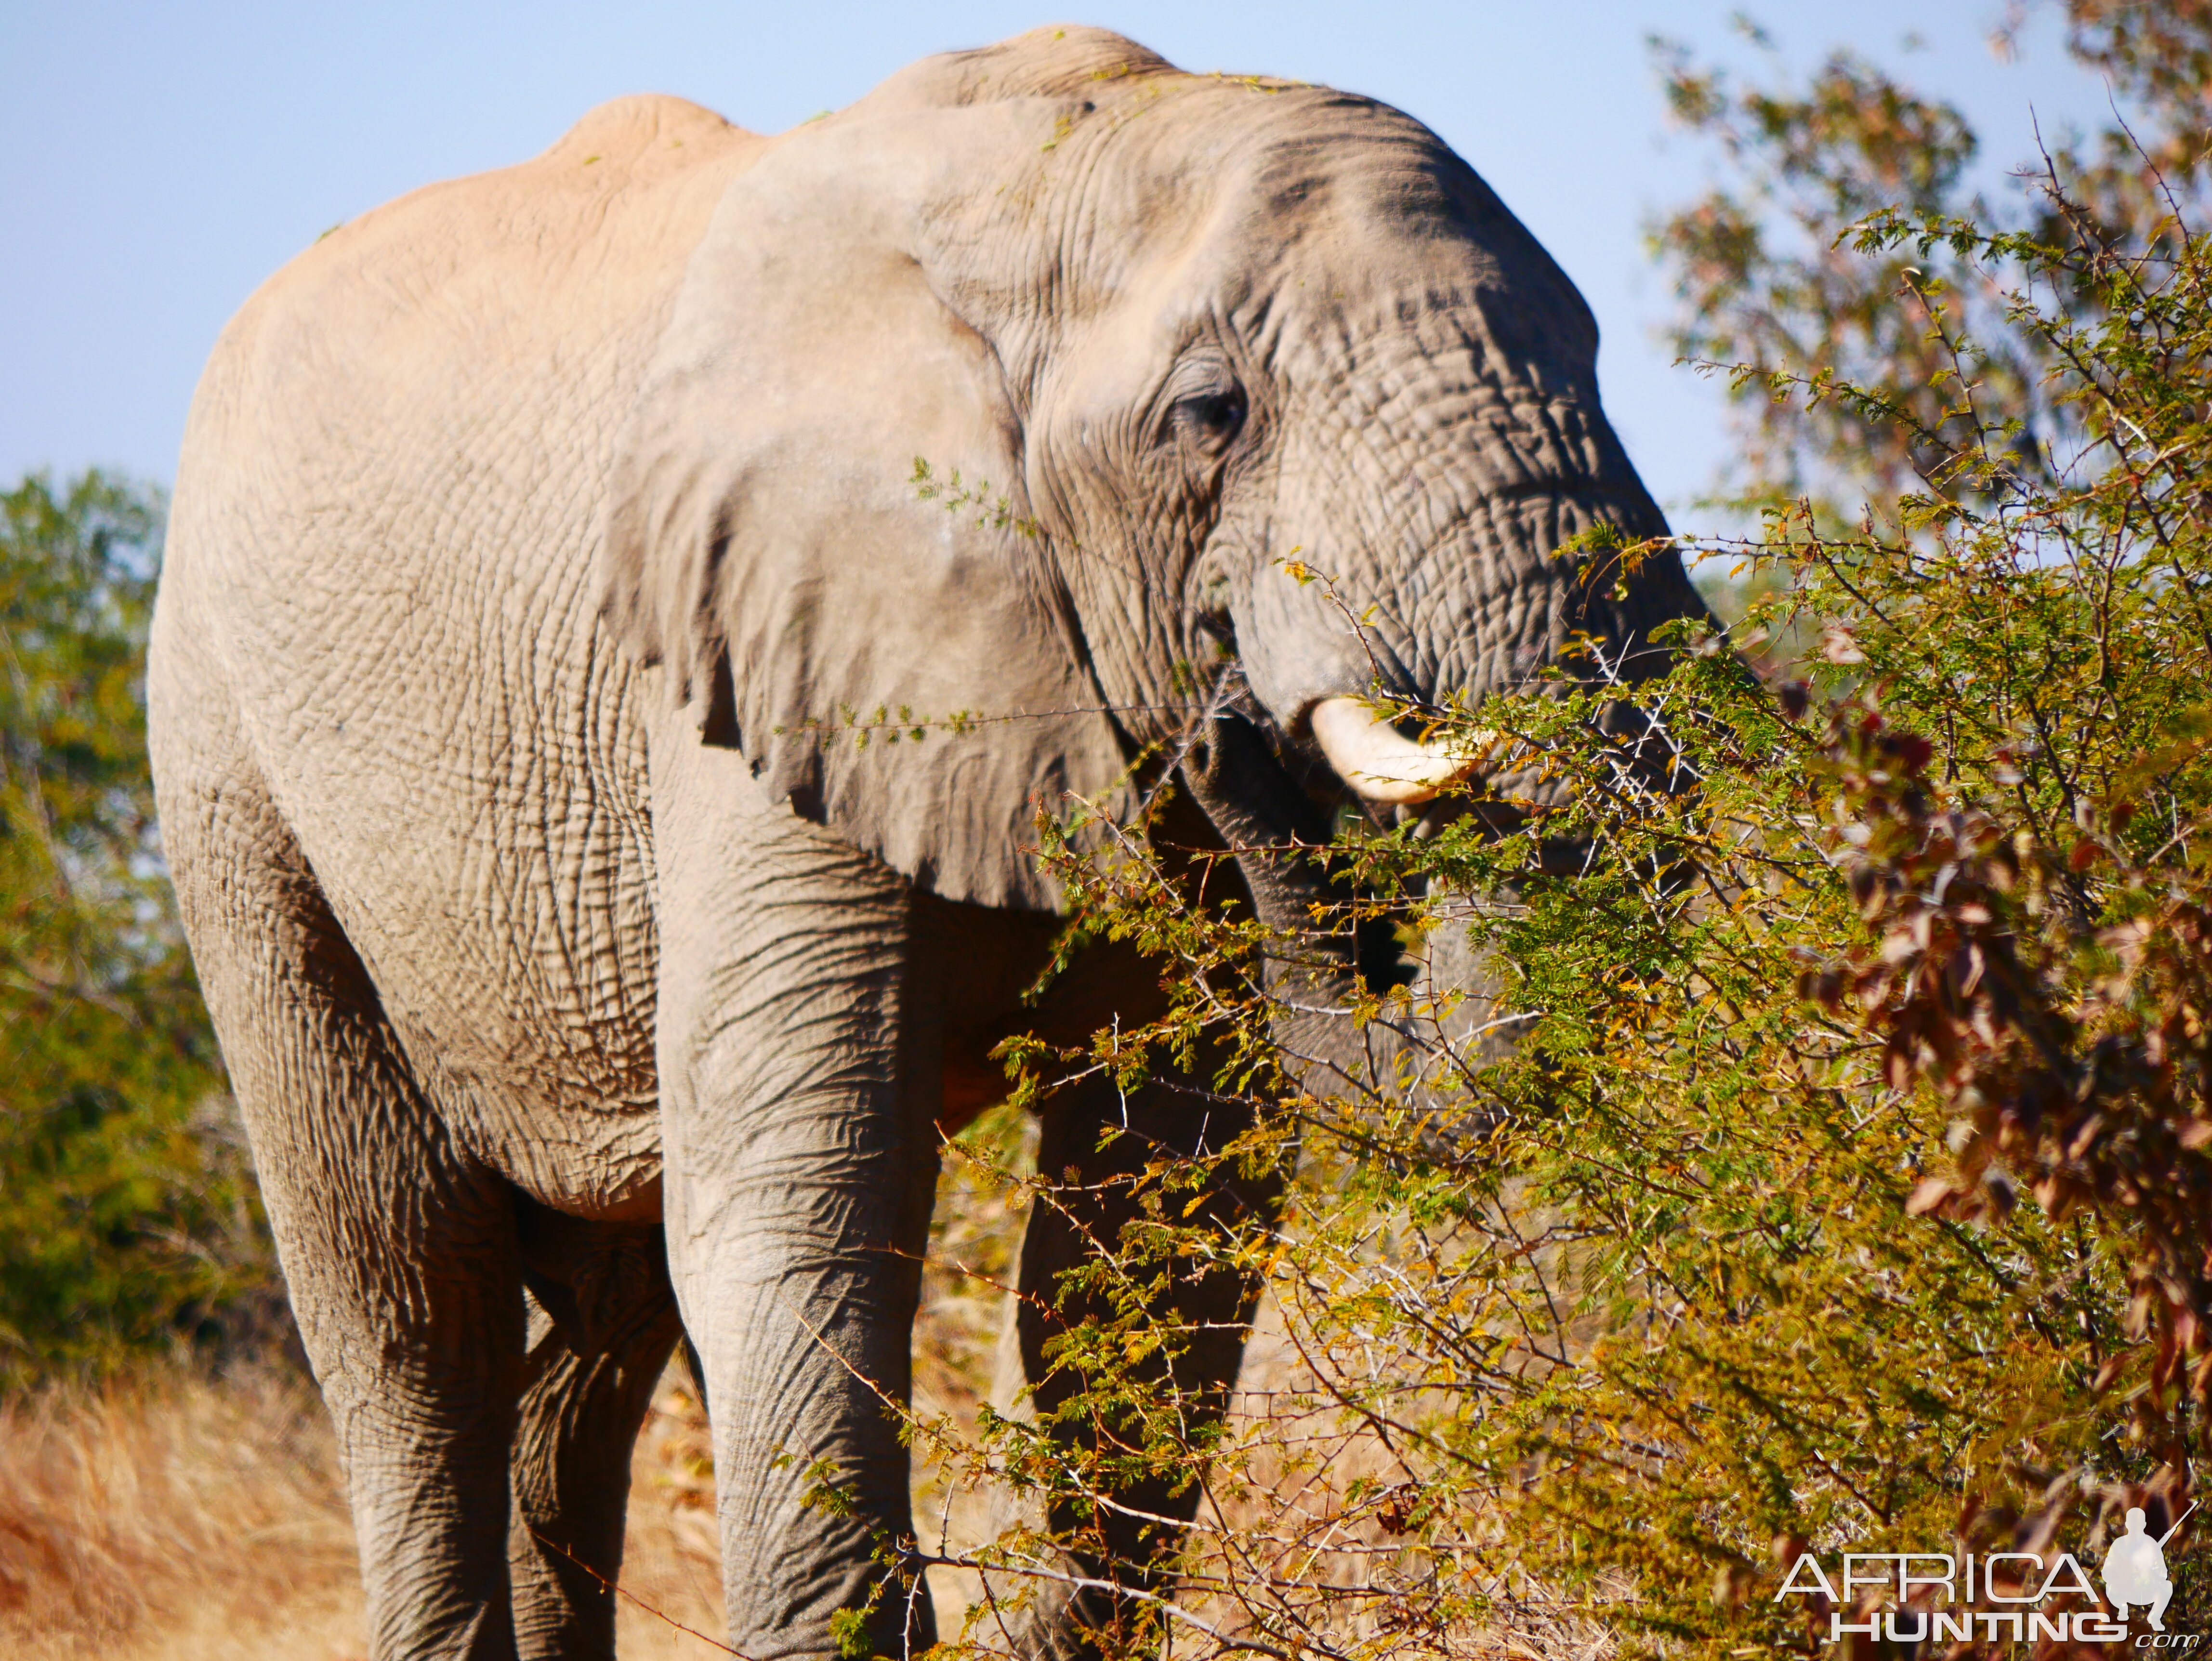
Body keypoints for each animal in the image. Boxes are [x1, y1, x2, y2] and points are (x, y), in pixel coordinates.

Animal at [147, 23, 1698, 1661]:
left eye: (1598, 359)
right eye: (1213, 413)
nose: (1235, 731)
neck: (1063, 168)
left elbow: (1156, 1215)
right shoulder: (750, 655)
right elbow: (807, 1192)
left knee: (599, 1339)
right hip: (229, 773)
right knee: (412, 1302)